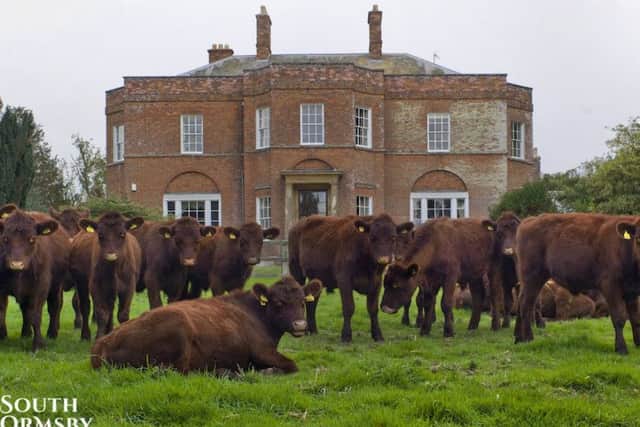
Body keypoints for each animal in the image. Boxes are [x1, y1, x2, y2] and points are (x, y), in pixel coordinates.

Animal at [0, 206, 70, 351]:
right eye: (5, 238)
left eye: (32, 239)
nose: (17, 264)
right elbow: (2, 311)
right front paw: (2, 336)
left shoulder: (40, 289)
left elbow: (36, 315)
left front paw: (38, 345)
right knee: (25, 310)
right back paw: (25, 333)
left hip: (56, 286)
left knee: (54, 306)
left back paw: (52, 333)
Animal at [90, 276, 322, 374]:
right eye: (278, 303)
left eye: (302, 301)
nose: (300, 325)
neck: (257, 314)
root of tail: (102, 343)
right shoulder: (261, 350)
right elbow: (291, 364)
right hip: (179, 328)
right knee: (178, 371)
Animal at [288, 213, 414, 342]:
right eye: (372, 237)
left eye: (393, 238)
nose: (383, 259)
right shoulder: (344, 280)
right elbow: (349, 307)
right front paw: (346, 336)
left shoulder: (377, 282)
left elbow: (373, 309)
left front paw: (378, 335)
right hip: (296, 269)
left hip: (317, 277)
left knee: (312, 301)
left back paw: (312, 330)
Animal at [514, 213, 640, 354]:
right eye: (638, 239)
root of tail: (530, 220)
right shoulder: (611, 286)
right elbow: (619, 317)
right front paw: (621, 348)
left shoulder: (632, 291)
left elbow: (635, 318)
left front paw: (638, 343)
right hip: (533, 277)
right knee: (526, 304)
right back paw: (528, 338)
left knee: (521, 301)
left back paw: (518, 338)